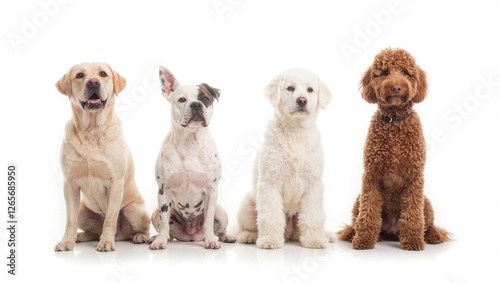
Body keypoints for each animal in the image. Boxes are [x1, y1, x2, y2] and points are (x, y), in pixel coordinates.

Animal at [54, 62, 149, 253]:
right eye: (80, 75)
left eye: (103, 74)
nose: (93, 82)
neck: (91, 130)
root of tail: (121, 236)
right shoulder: (69, 183)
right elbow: (70, 220)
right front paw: (67, 241)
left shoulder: (116, 182)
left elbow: (110, 218)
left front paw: (106, 242)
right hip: (83, 211)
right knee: (90, 229)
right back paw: (81, 236)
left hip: (135, 210)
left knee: (143, 229)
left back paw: (139, 237)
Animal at [147, 66, 235, 251]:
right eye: (182, 100)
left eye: (205, 99)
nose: (196, 104)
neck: (190, 142)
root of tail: (191, 234)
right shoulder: (163, 190)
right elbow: (164, 223)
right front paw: (160, 241)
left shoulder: (211, 191)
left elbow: (208, 221)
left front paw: (211, 240)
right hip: (155, 212)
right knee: (166, 229)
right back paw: (155, 238)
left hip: (221, 212)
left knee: (221, 227)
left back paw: (226, 236)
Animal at [237, 68, 332, 248]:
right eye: (290, 88)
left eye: (310, 90)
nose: (302, 100)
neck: (296, 131)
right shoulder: (270, 184)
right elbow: (271, 216)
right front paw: (270, 240)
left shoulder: (313, 185)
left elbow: (313, 216)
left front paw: (315, 240)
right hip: (247, 204)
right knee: (245, 227)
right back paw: (248, 236)